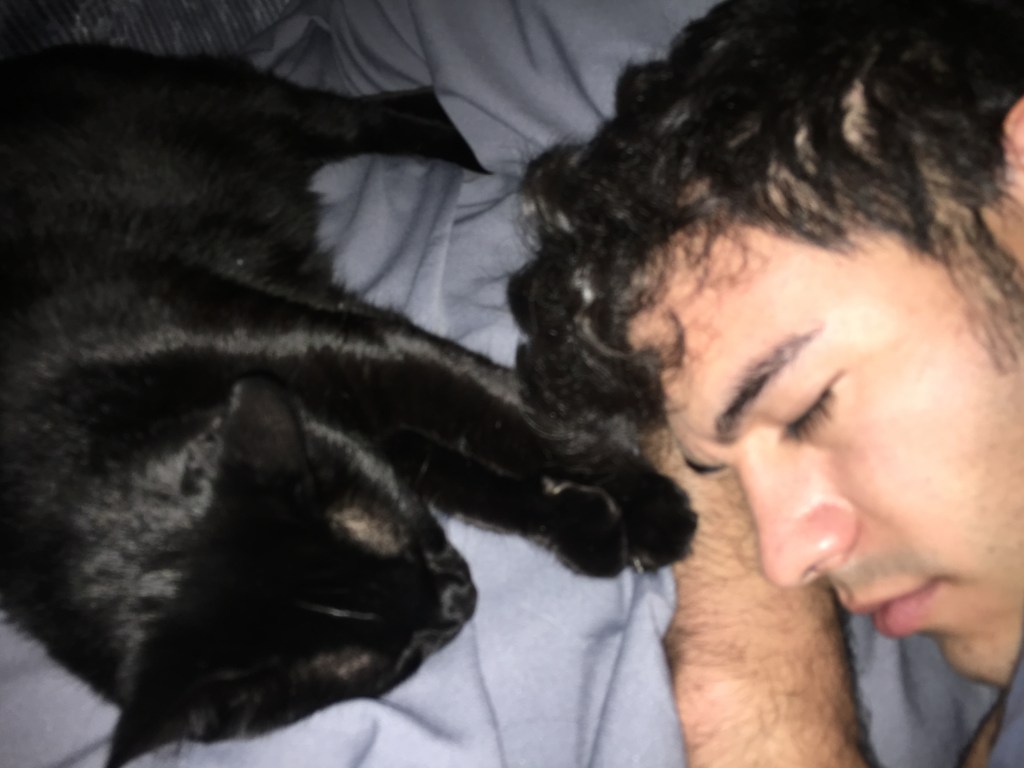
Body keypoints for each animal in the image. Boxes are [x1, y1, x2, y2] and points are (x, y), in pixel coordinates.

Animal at [0, 45, 696, 768]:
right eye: (399, 657)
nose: (461, 598)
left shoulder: (360, 350)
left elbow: (512, 418)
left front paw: (651, 505)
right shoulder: (368, 432)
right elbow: (472, 480)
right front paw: (584, 524)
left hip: (260, 108)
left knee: (373, 111)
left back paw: (471, 149)